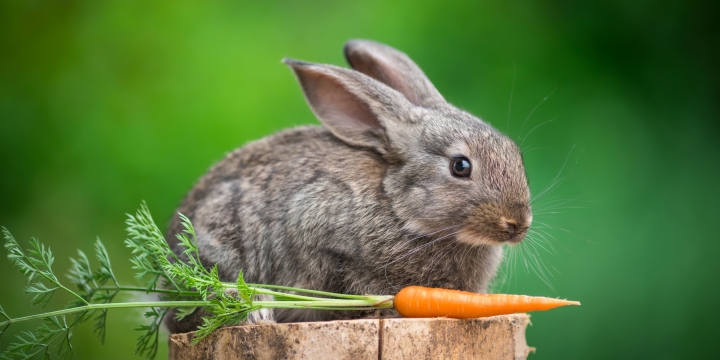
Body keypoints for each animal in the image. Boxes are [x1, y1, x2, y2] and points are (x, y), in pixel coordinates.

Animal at [166, 40, 532, 334]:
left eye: (515, 152)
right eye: (460, 166)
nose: (517, 224)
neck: (398, 207)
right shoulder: (315, 227)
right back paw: (253, 310)